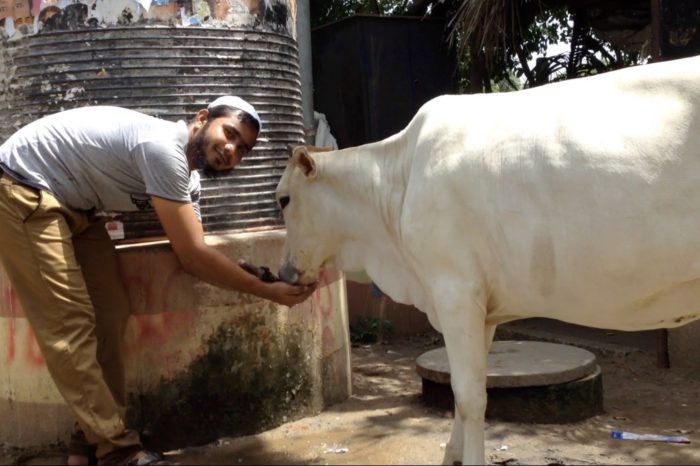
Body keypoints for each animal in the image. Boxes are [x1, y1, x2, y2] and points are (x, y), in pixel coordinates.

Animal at [276, 54, 700, 462]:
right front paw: (452, 454)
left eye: (283, 199)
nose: (284, 271)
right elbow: (465, 392)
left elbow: (469, 395)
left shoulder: (455, 291)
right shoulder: (484, 306)